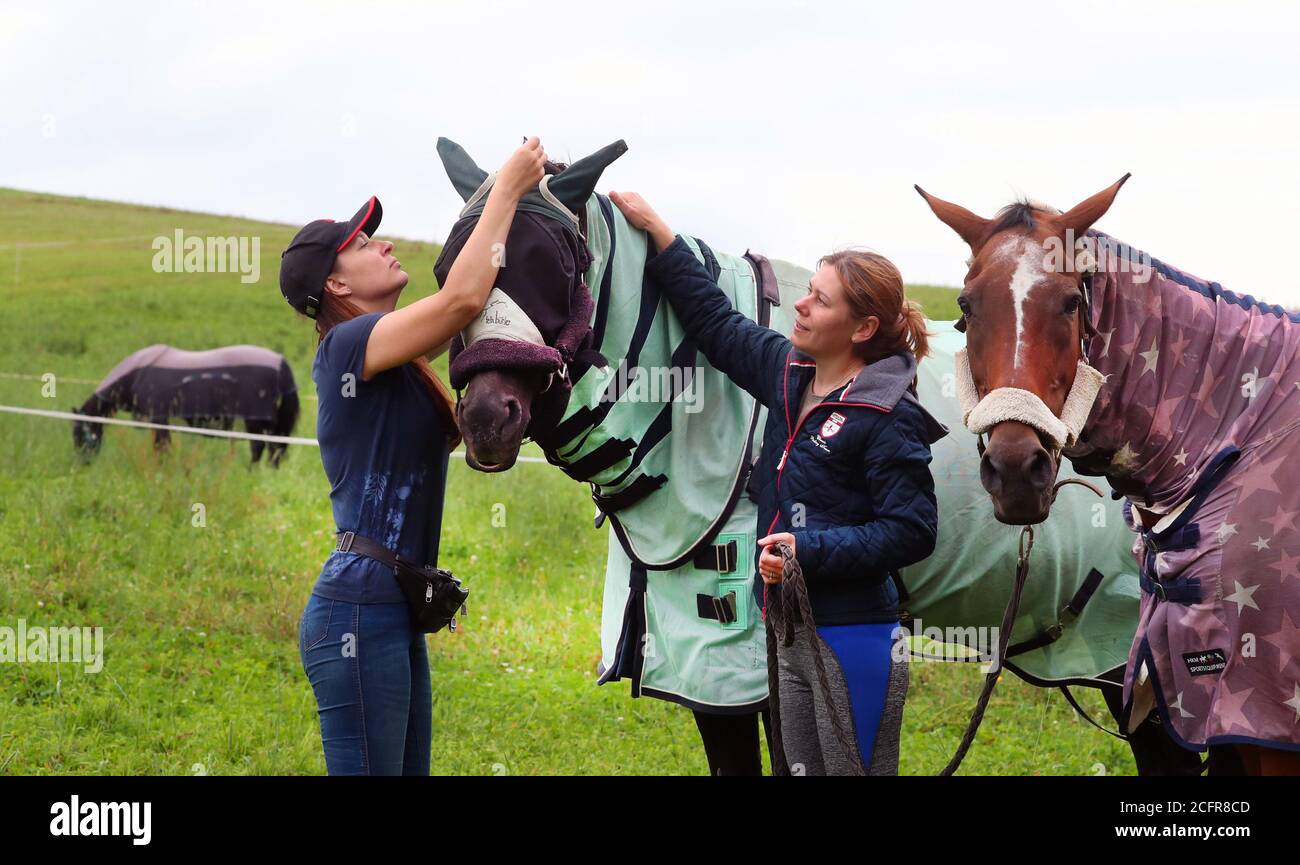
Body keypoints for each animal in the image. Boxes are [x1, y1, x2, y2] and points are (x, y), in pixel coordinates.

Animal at [73, 343, 300, 466]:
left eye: (78, 433)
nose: (83, 463)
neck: (136, 373)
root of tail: (280, 362)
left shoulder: (158, 418)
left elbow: (161, 447)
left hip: (256, 419)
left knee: (259, 447)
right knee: (274, 448)